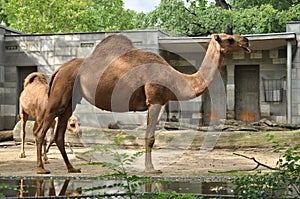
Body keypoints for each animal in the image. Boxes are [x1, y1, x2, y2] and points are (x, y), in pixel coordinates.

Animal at [34, 34, 250, 174]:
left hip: (70, 100)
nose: (246, 41)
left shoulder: (156, 103)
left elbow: (150, 136)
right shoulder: (155, 100)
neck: (176, 78)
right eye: (229, 39)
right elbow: (150, 138)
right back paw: (41, 169)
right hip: (59, 96)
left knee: (59, 133)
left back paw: (72, 168)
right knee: (41, 130)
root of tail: (58, 69)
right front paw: (151, 169)